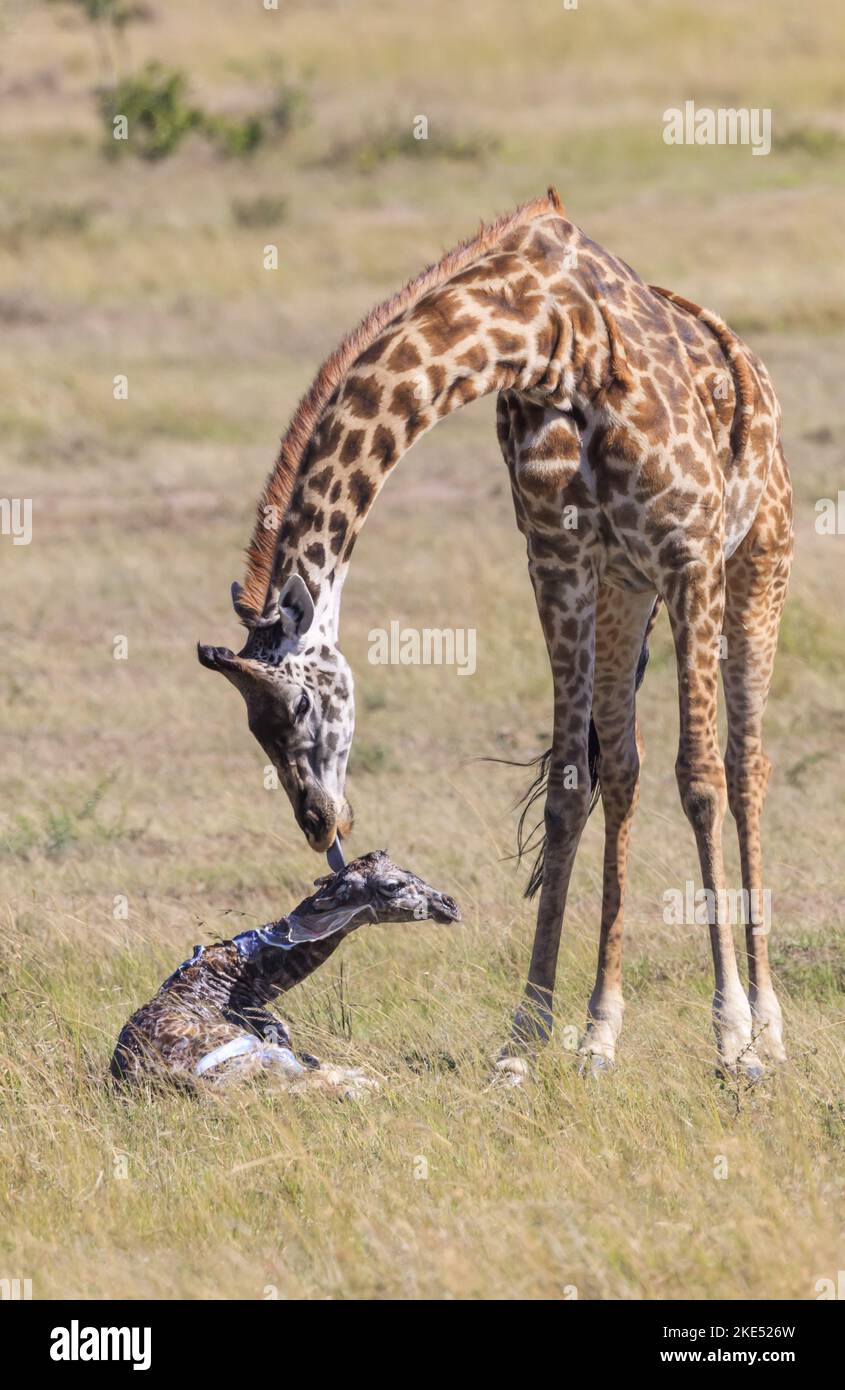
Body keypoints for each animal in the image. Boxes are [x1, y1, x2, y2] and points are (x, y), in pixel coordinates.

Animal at [197, 187, 789, 1073]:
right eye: (249, 725)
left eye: (295, 707)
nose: (317, 822)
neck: (548, 340)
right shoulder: (559, 565)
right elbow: (570, 789)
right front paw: (525, 1039)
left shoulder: (688, 555)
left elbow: (700, 780)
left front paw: (731, 1037)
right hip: (624, 595)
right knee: (622, 771)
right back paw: (600, 1032)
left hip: (756, 563)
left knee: (744, 766)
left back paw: (767, 1025)